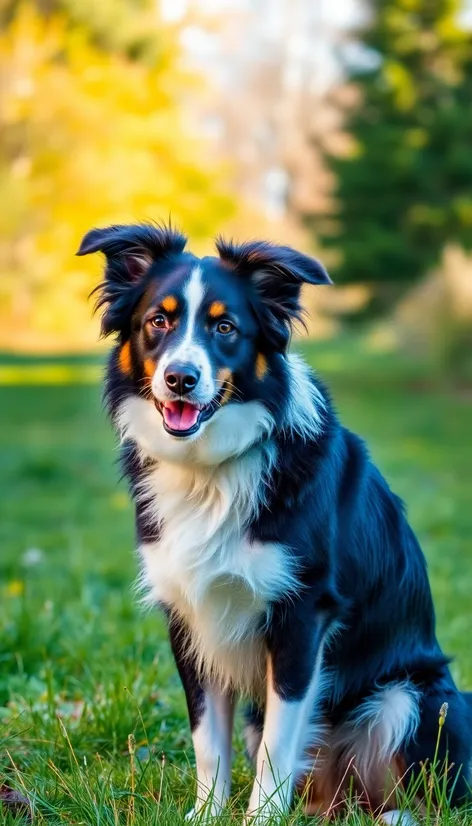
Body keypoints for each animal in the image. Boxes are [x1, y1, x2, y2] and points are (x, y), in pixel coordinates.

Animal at [79, 222, 470, 820]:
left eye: (225, 327)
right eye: (157, 322)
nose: (180, 378)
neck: (210, 469)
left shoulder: (302, 615)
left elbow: (278, 741)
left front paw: (261, 815)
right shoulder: (190, 616)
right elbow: (206, 737)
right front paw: (207, 814)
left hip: (411, 697)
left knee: (425, 793)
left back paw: (390, 815)